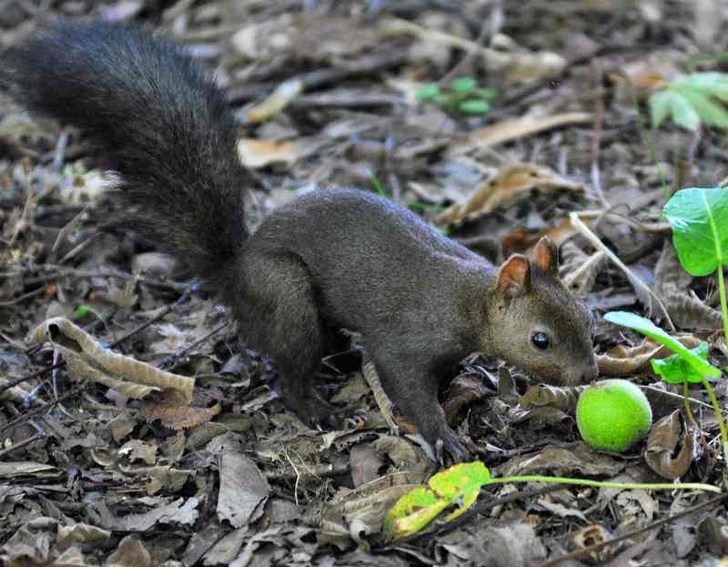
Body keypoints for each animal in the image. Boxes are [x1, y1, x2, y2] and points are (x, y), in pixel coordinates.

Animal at [4, 20, 596, 464]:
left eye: (588, 317)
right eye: (540, 340)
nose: (590, 374)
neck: (469, 297)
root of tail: (235, 272)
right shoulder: (406, 337)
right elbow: (405, 382)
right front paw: (444, 437)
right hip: (285, 294)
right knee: (289, 370)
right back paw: (317, 408)